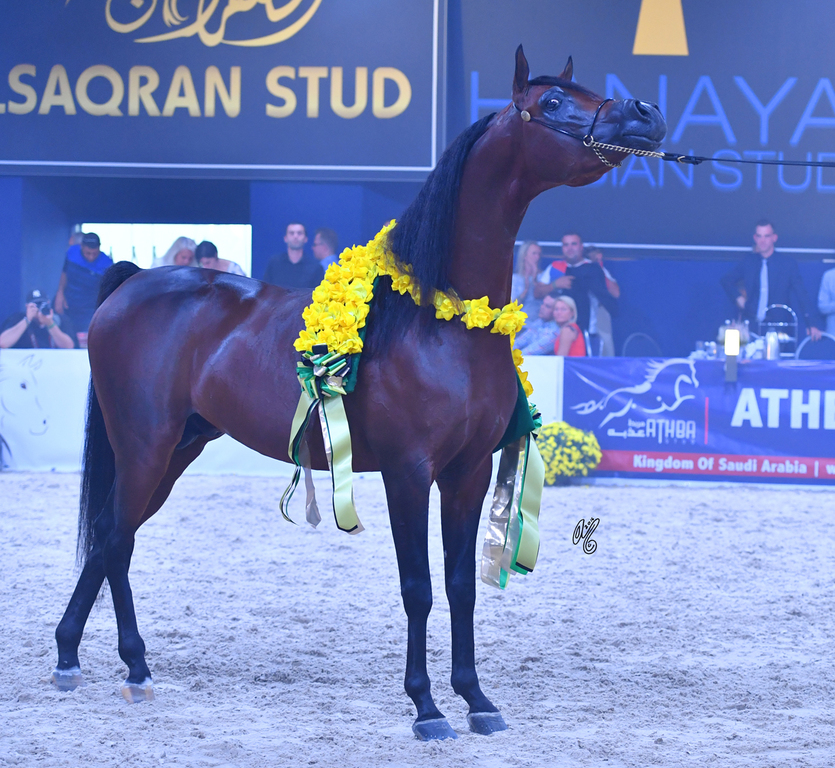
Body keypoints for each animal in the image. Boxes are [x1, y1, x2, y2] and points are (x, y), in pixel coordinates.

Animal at [53, 46, 665, 740]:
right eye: (554, 102)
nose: (645, 113)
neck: (439, 322)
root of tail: (132, 283)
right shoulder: (408, 472)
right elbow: (418, 586)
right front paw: (426, 708)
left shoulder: (467, 473)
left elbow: (460, 585)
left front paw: (476, 699)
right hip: (145, 449)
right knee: (117, 540)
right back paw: (134, 668)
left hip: (176, 451)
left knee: (110, 532)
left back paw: (74, 658)